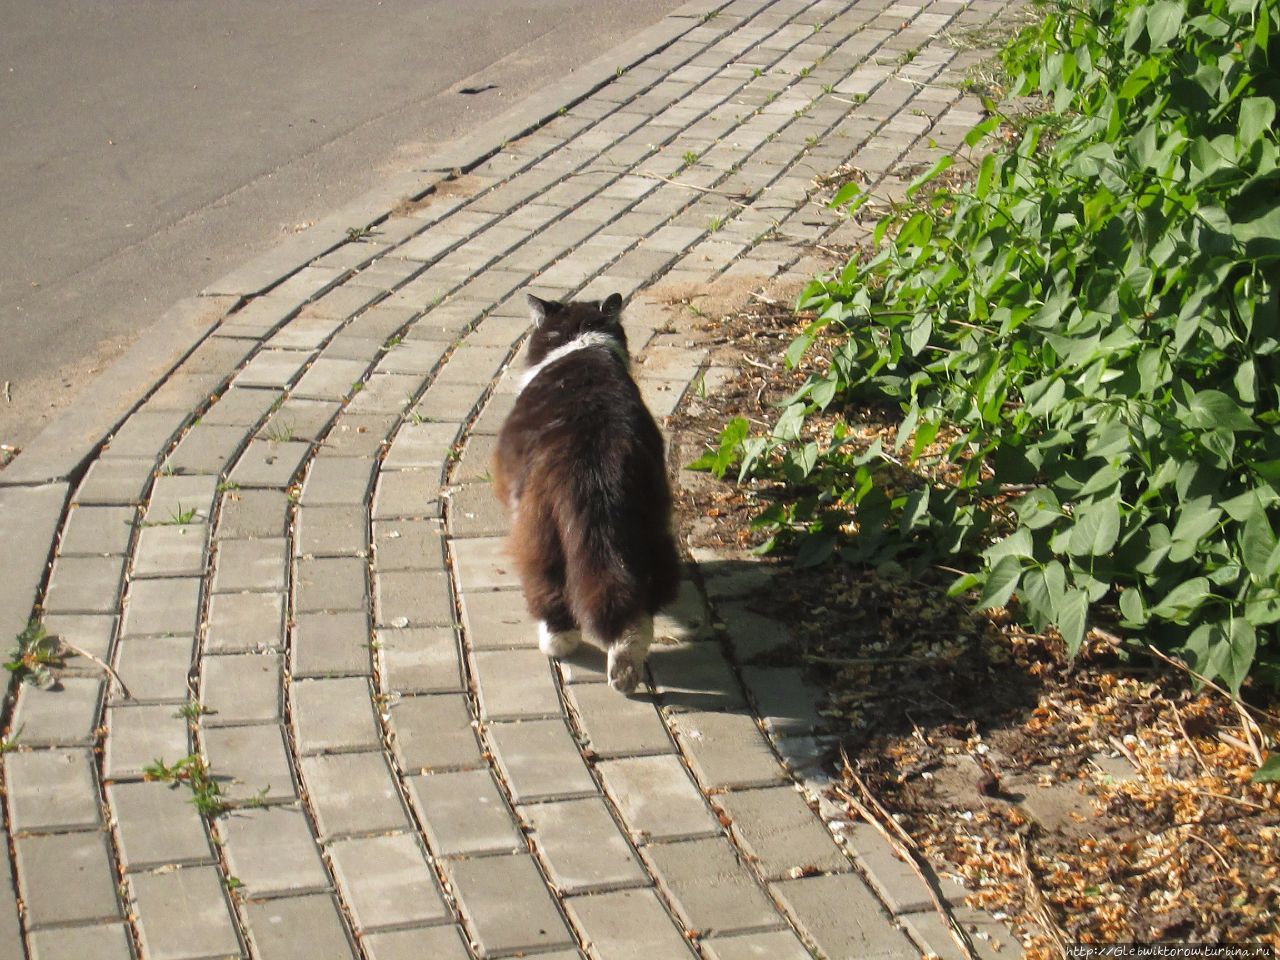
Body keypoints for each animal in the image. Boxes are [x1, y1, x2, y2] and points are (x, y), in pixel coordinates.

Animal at [494, 289, 686, 696]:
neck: (581, 344)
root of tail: (596, 462)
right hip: (650, 530)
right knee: (638, 609)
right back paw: (625, 672)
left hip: (539, 529)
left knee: (549, 591)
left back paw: (558, 644)